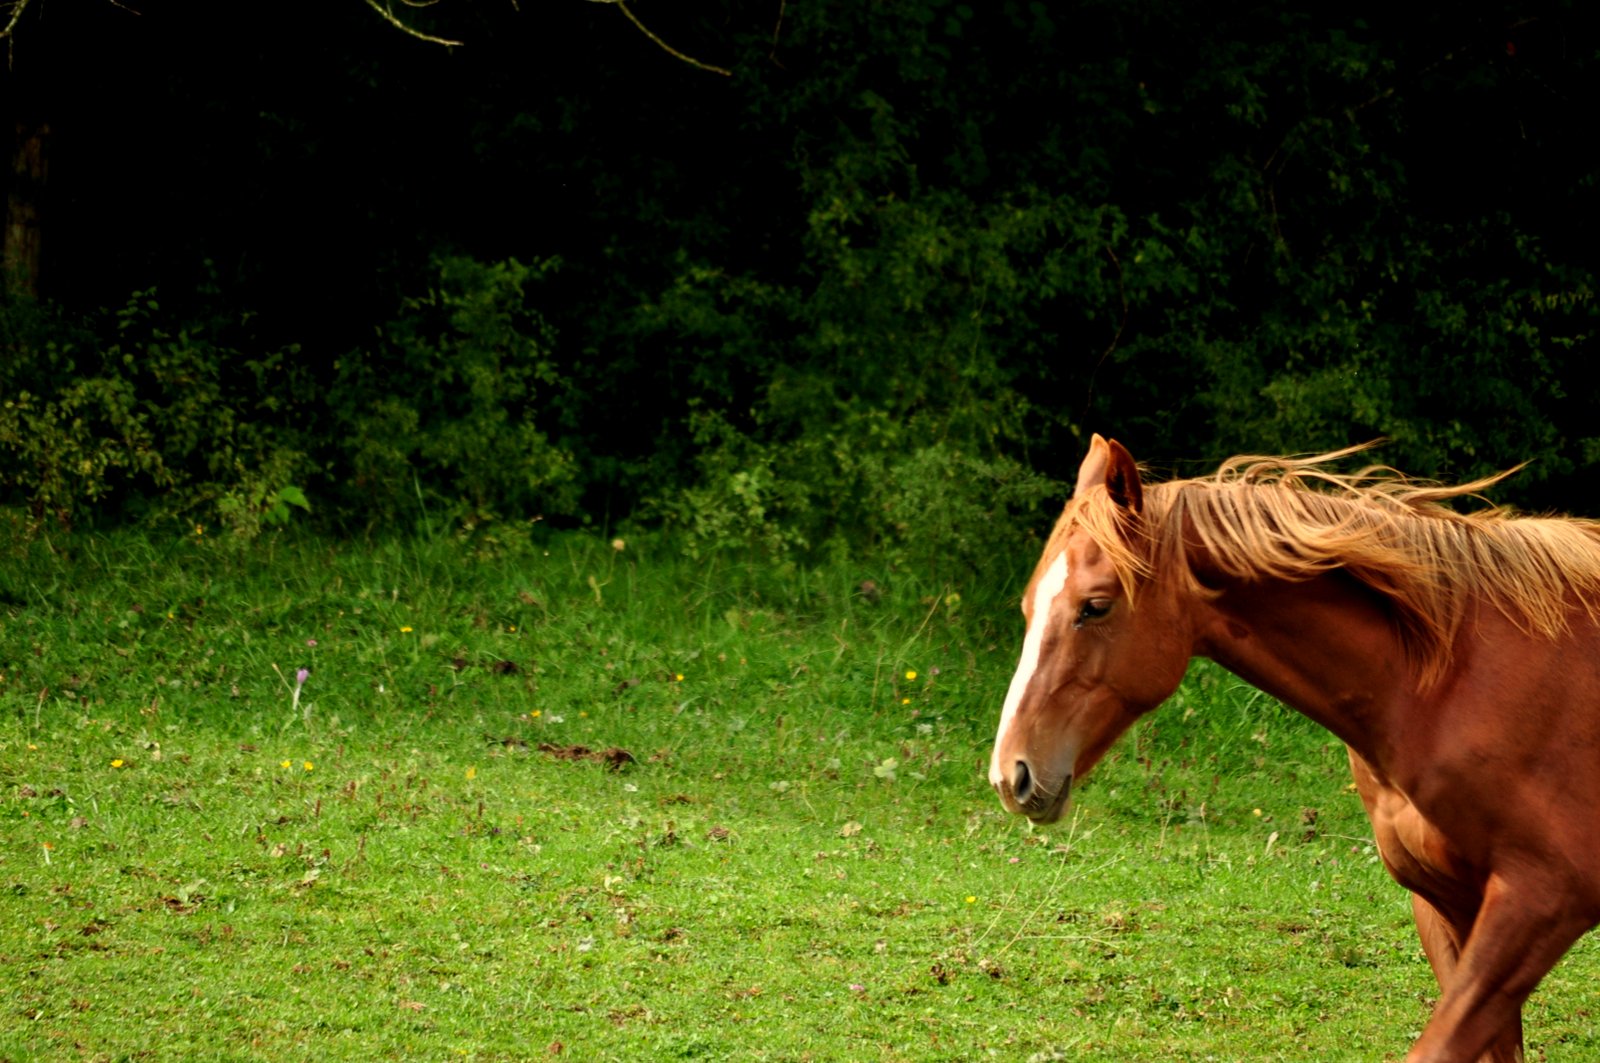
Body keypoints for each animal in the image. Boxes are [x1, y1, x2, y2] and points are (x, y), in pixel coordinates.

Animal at [989, 434, 1600, 1063]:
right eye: (1029, 607)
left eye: (1095, 606)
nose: (1011, 774)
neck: (1453, 680)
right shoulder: (1447, 905)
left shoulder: (1541, 900)